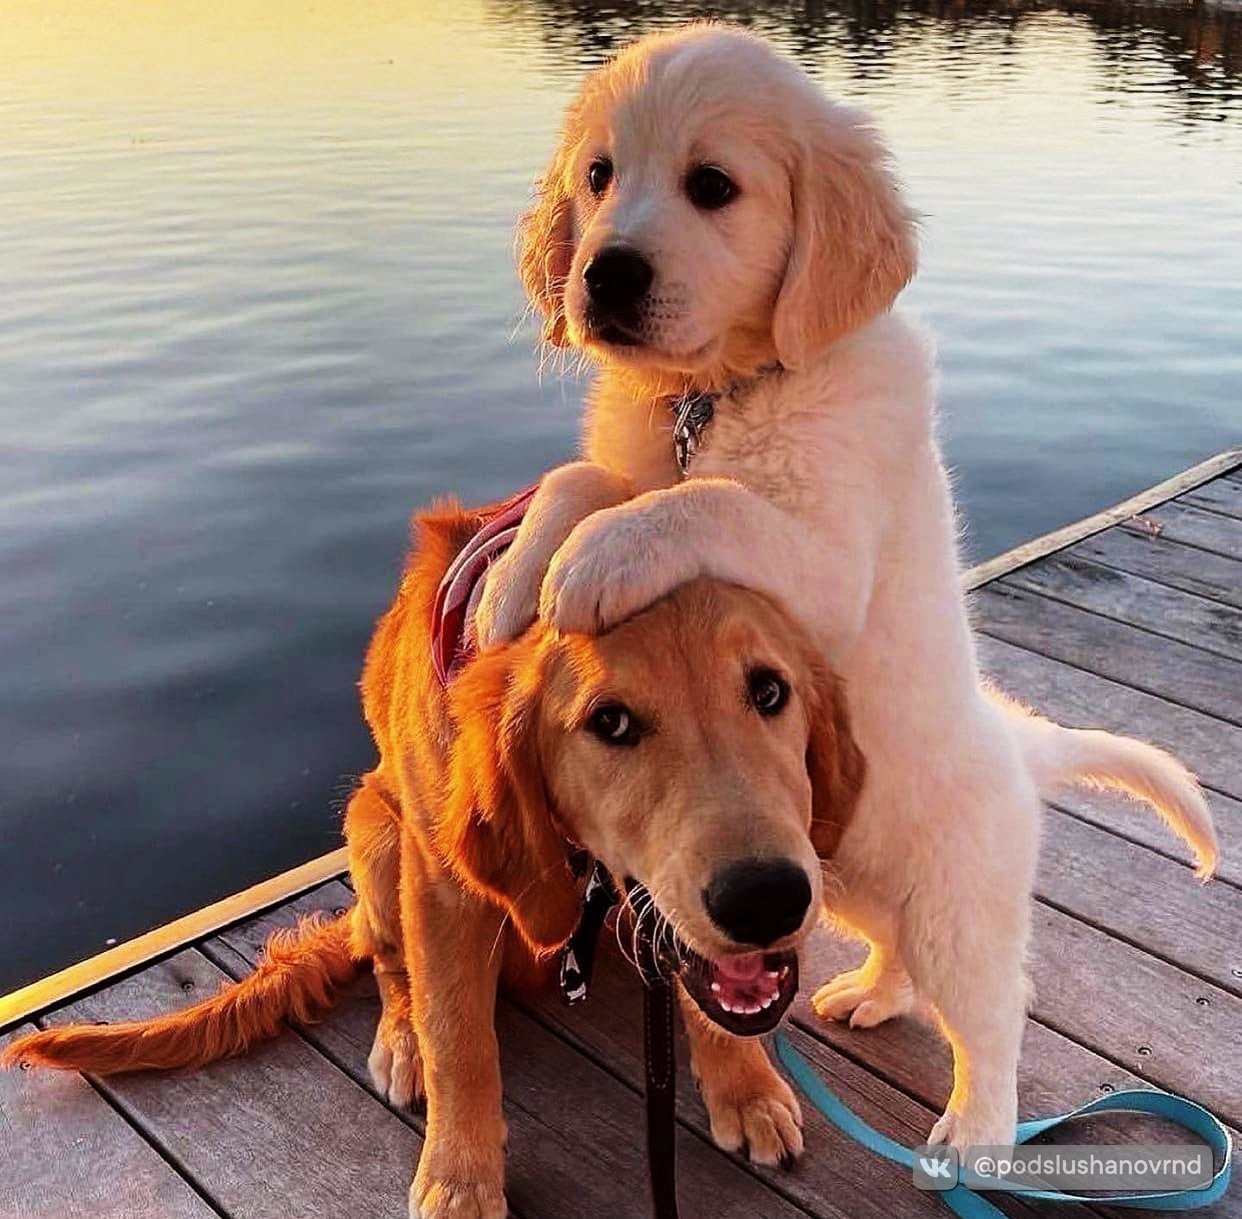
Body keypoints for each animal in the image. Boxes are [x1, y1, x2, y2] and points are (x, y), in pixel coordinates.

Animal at [476, 23, 1222, 1158]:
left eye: (712, 186)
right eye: (598, 177)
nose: (603, 276)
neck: (722, 392)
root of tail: (1018, 741)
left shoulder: (825, 561)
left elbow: (702, 504)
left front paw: (586, 566)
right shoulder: (642, 457)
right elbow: (586, 481)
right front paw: (516, 579)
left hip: (959, 909)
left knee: (995, 1018)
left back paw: (972, 1132)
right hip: (841, 885)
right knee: (901, 955)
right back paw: (871, 992)